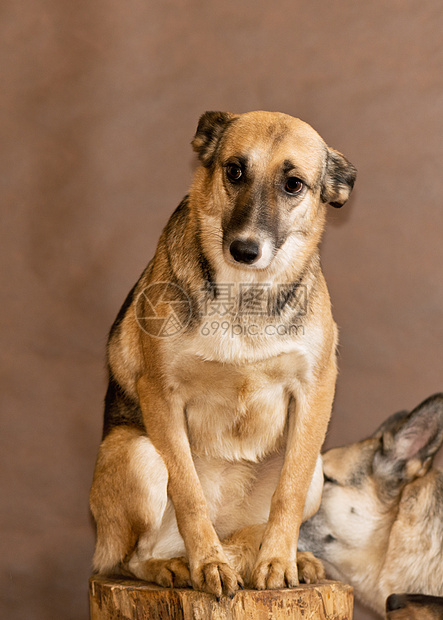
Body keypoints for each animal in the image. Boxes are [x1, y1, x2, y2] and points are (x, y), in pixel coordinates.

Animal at [90, 110, 358, 596]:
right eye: (234, 170)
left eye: (294, 184)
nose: (244, 249)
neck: (243, 293)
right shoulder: (161, 393)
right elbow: (188, 493)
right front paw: (209, 564)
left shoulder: (315, 389)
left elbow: (287, 494)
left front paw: (278, 560)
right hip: (138, 455)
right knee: (131, 557)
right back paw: (176, 565)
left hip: (316, 471)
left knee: (266, 517)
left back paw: (281, 556)